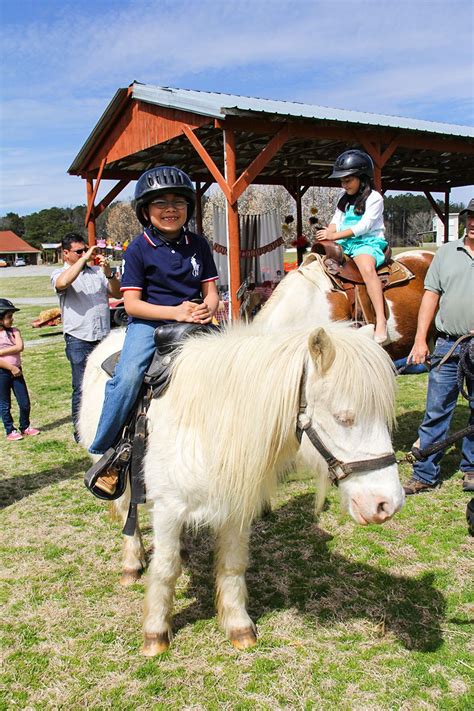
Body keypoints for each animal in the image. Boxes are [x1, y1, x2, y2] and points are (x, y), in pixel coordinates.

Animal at [80, 322, 404, 656]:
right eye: (344, 418)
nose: (386, 505)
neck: (210, 428)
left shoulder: (236, 509)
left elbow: (233, 564)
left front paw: (238, 625)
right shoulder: (168, 508)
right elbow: (165, 569)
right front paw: (156, 633)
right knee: (126, 517)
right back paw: (132, 565)